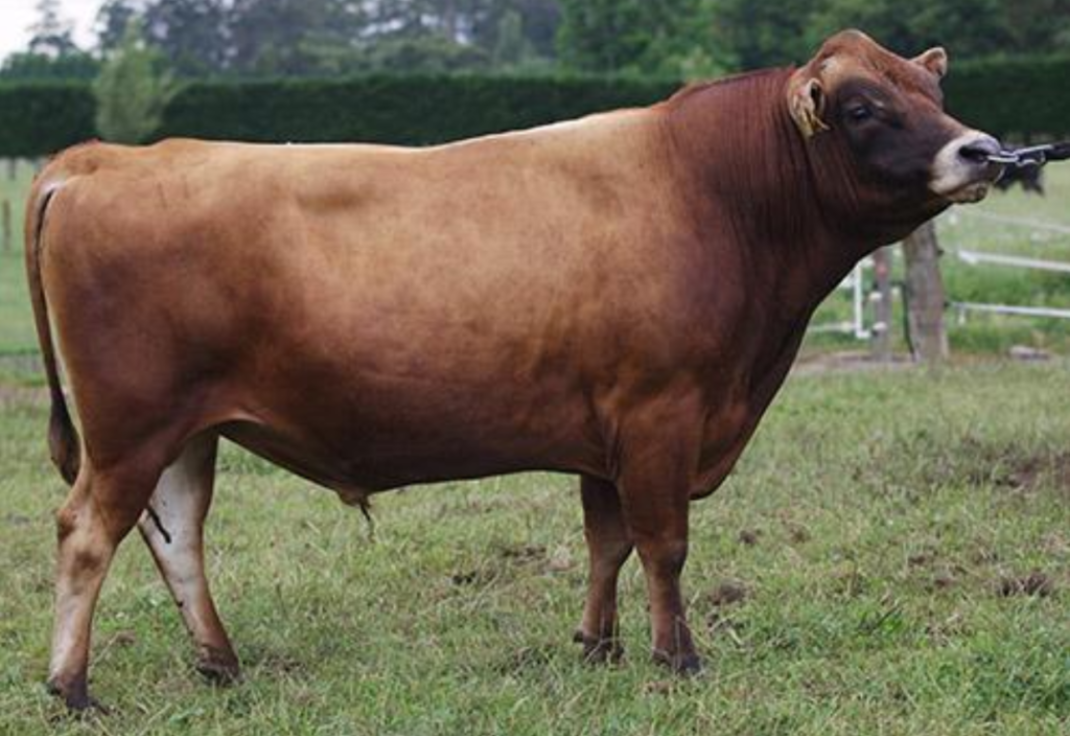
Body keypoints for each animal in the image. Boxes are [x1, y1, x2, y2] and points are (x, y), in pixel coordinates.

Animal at [26, 30, 1003, 710]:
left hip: (187, 432)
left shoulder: (607, 428)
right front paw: (678, 657)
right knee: (87, 534)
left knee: (175, 538)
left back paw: (221, 664)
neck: (716, 192)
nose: (982, 151)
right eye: (863, 108)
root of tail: (107, 157)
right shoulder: (663, 412)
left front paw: (600, 646)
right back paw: (72, 688)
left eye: (933, 89)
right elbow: (664, 543)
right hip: (130, 428)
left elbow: (608, 541)